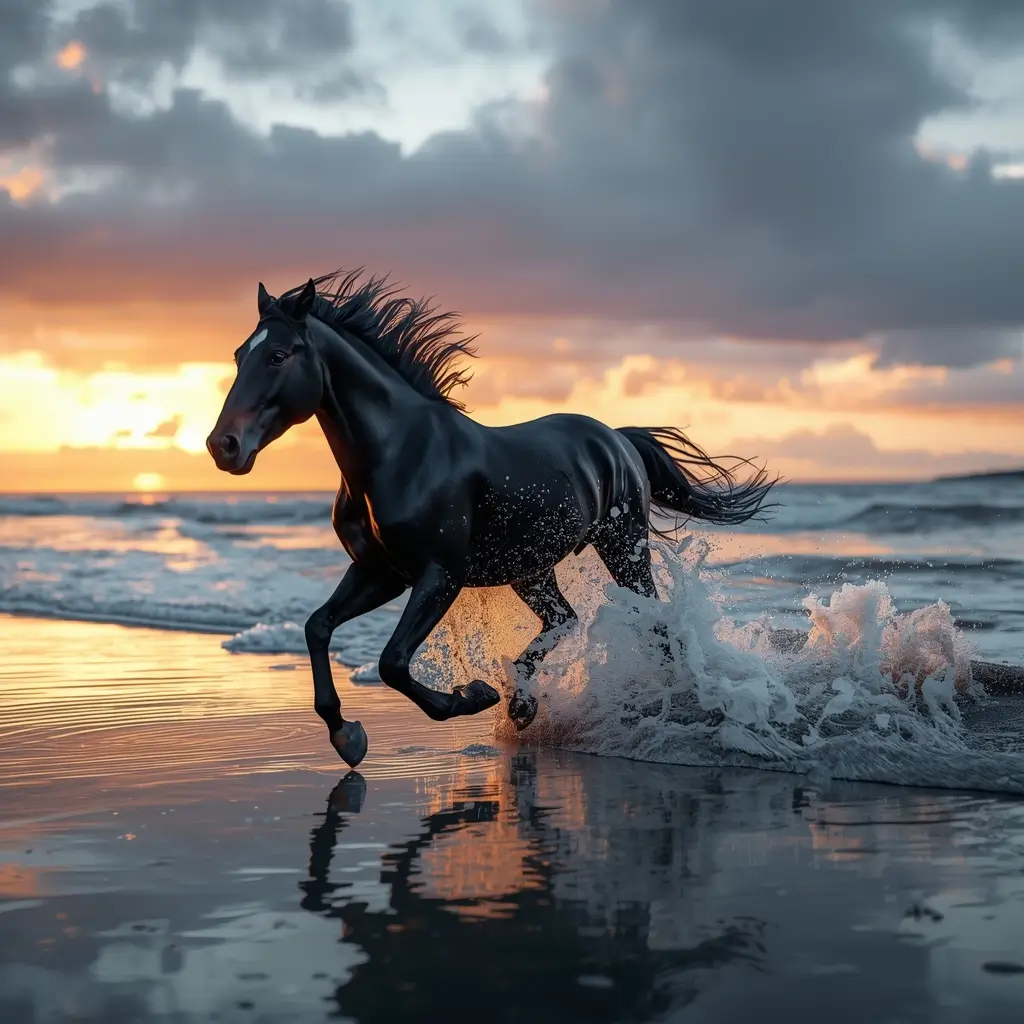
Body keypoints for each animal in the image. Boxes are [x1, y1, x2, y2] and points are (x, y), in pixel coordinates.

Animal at [207, 270, 776, 768]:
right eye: (237, 355)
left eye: (278, 355)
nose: (222, 446)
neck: (400, 454)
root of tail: (616, 437)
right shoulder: (380, 572)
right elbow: (317, 626)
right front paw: (347, 734)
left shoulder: (439, 575)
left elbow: (392, 661)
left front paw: (472, 695)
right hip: (530, 568)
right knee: (563, 619)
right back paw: (523, 704)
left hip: (622, 546)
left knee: (653, 625)